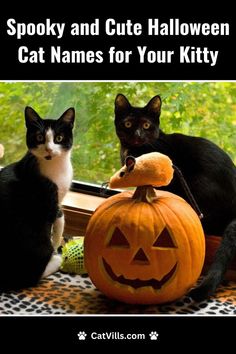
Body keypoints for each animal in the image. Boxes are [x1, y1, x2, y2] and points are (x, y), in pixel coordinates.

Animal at [0, 106, 74, 290]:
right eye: (40, 137)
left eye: (59, 138)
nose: (49, 149)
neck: (56, 166)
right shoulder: (50, 201)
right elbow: (59, 220)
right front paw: (57, 245)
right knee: (30, 276)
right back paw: (57, 259)